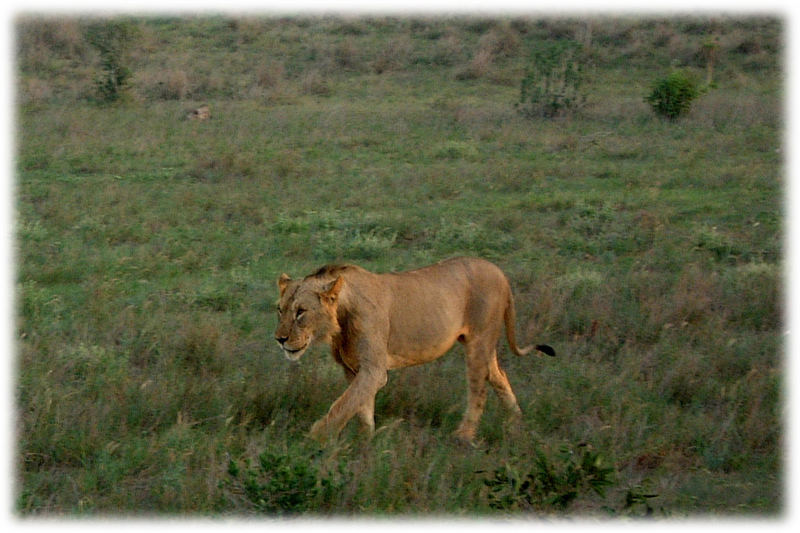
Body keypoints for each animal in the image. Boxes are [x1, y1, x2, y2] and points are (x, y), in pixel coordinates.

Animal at [272, 256, 552, 442]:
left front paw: (314, 441)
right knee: (499, 377)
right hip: (483, 345)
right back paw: (516, 424)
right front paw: (366, 441)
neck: (339, 321)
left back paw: (463, 437)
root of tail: (499, 272)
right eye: (280, 310)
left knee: (479, 389)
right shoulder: (353, 369)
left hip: (479, 342)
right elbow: (360, 406)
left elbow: (343, 405)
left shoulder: (374, 369)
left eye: (301, 312)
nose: (280, 339)